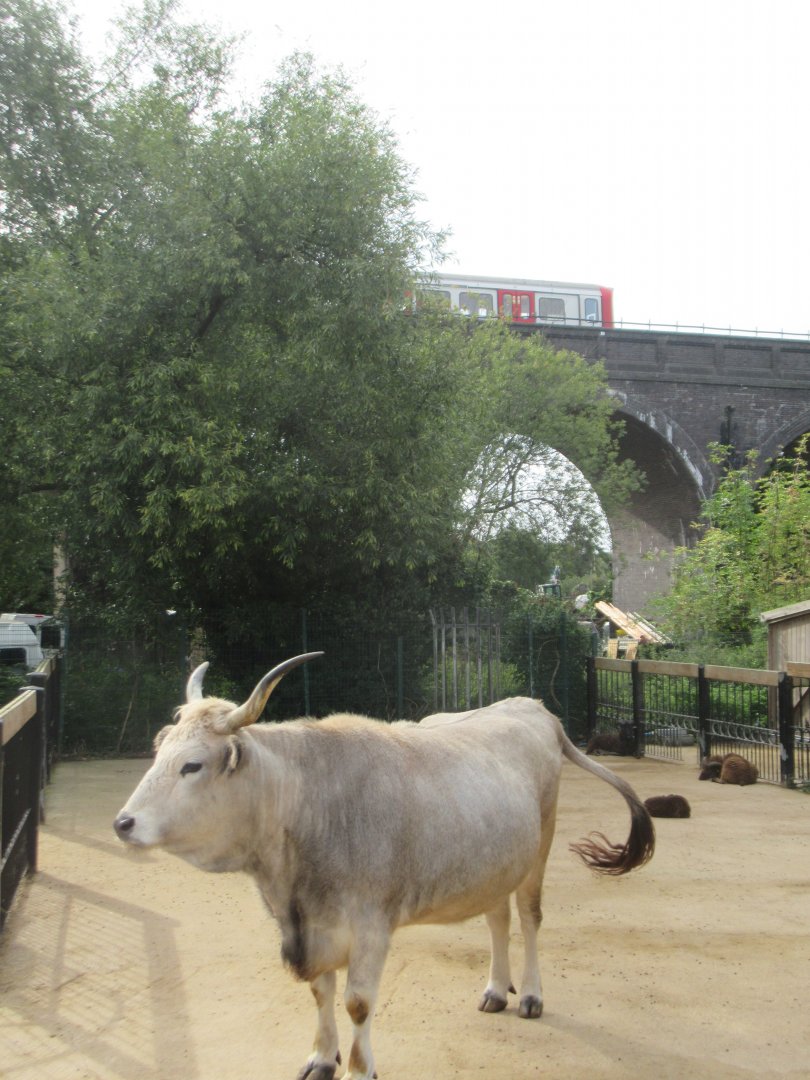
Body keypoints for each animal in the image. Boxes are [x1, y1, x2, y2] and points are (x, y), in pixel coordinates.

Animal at [113, 653, 655, 1080]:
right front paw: (320, 1058)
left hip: (536, 854)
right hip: (492, 865)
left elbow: (357, 1003)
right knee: (498, 920)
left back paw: (530, 997)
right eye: (159, 753)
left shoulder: (371, 926)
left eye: (192, 765)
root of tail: (533, 709)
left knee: (529, 918)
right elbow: (320, 991)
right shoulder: (312, 928)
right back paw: (496, 989)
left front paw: (359, 1068)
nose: (123, 823)